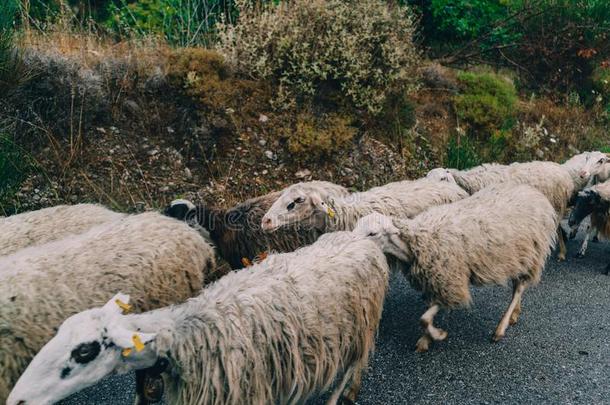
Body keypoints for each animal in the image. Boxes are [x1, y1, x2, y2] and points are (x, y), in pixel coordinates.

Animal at [7, 230, 388, 404]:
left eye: (84, 352)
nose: (16, 400)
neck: (186, 334)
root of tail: (360, 238)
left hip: (360, 328)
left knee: (351, 368)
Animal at [352, 182, 556, 350]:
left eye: (372, 233)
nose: (353, 245)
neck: (419, 239)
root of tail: (534, 192)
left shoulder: (449, 280)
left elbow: (424, 318)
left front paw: (437, 335)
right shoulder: (434, 279)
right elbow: (427, 315)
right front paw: (427, 339)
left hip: (533, 253)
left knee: (519, 288)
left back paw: (500, 328)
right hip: (519, 257)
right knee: (517, 287)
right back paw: (514, 315)